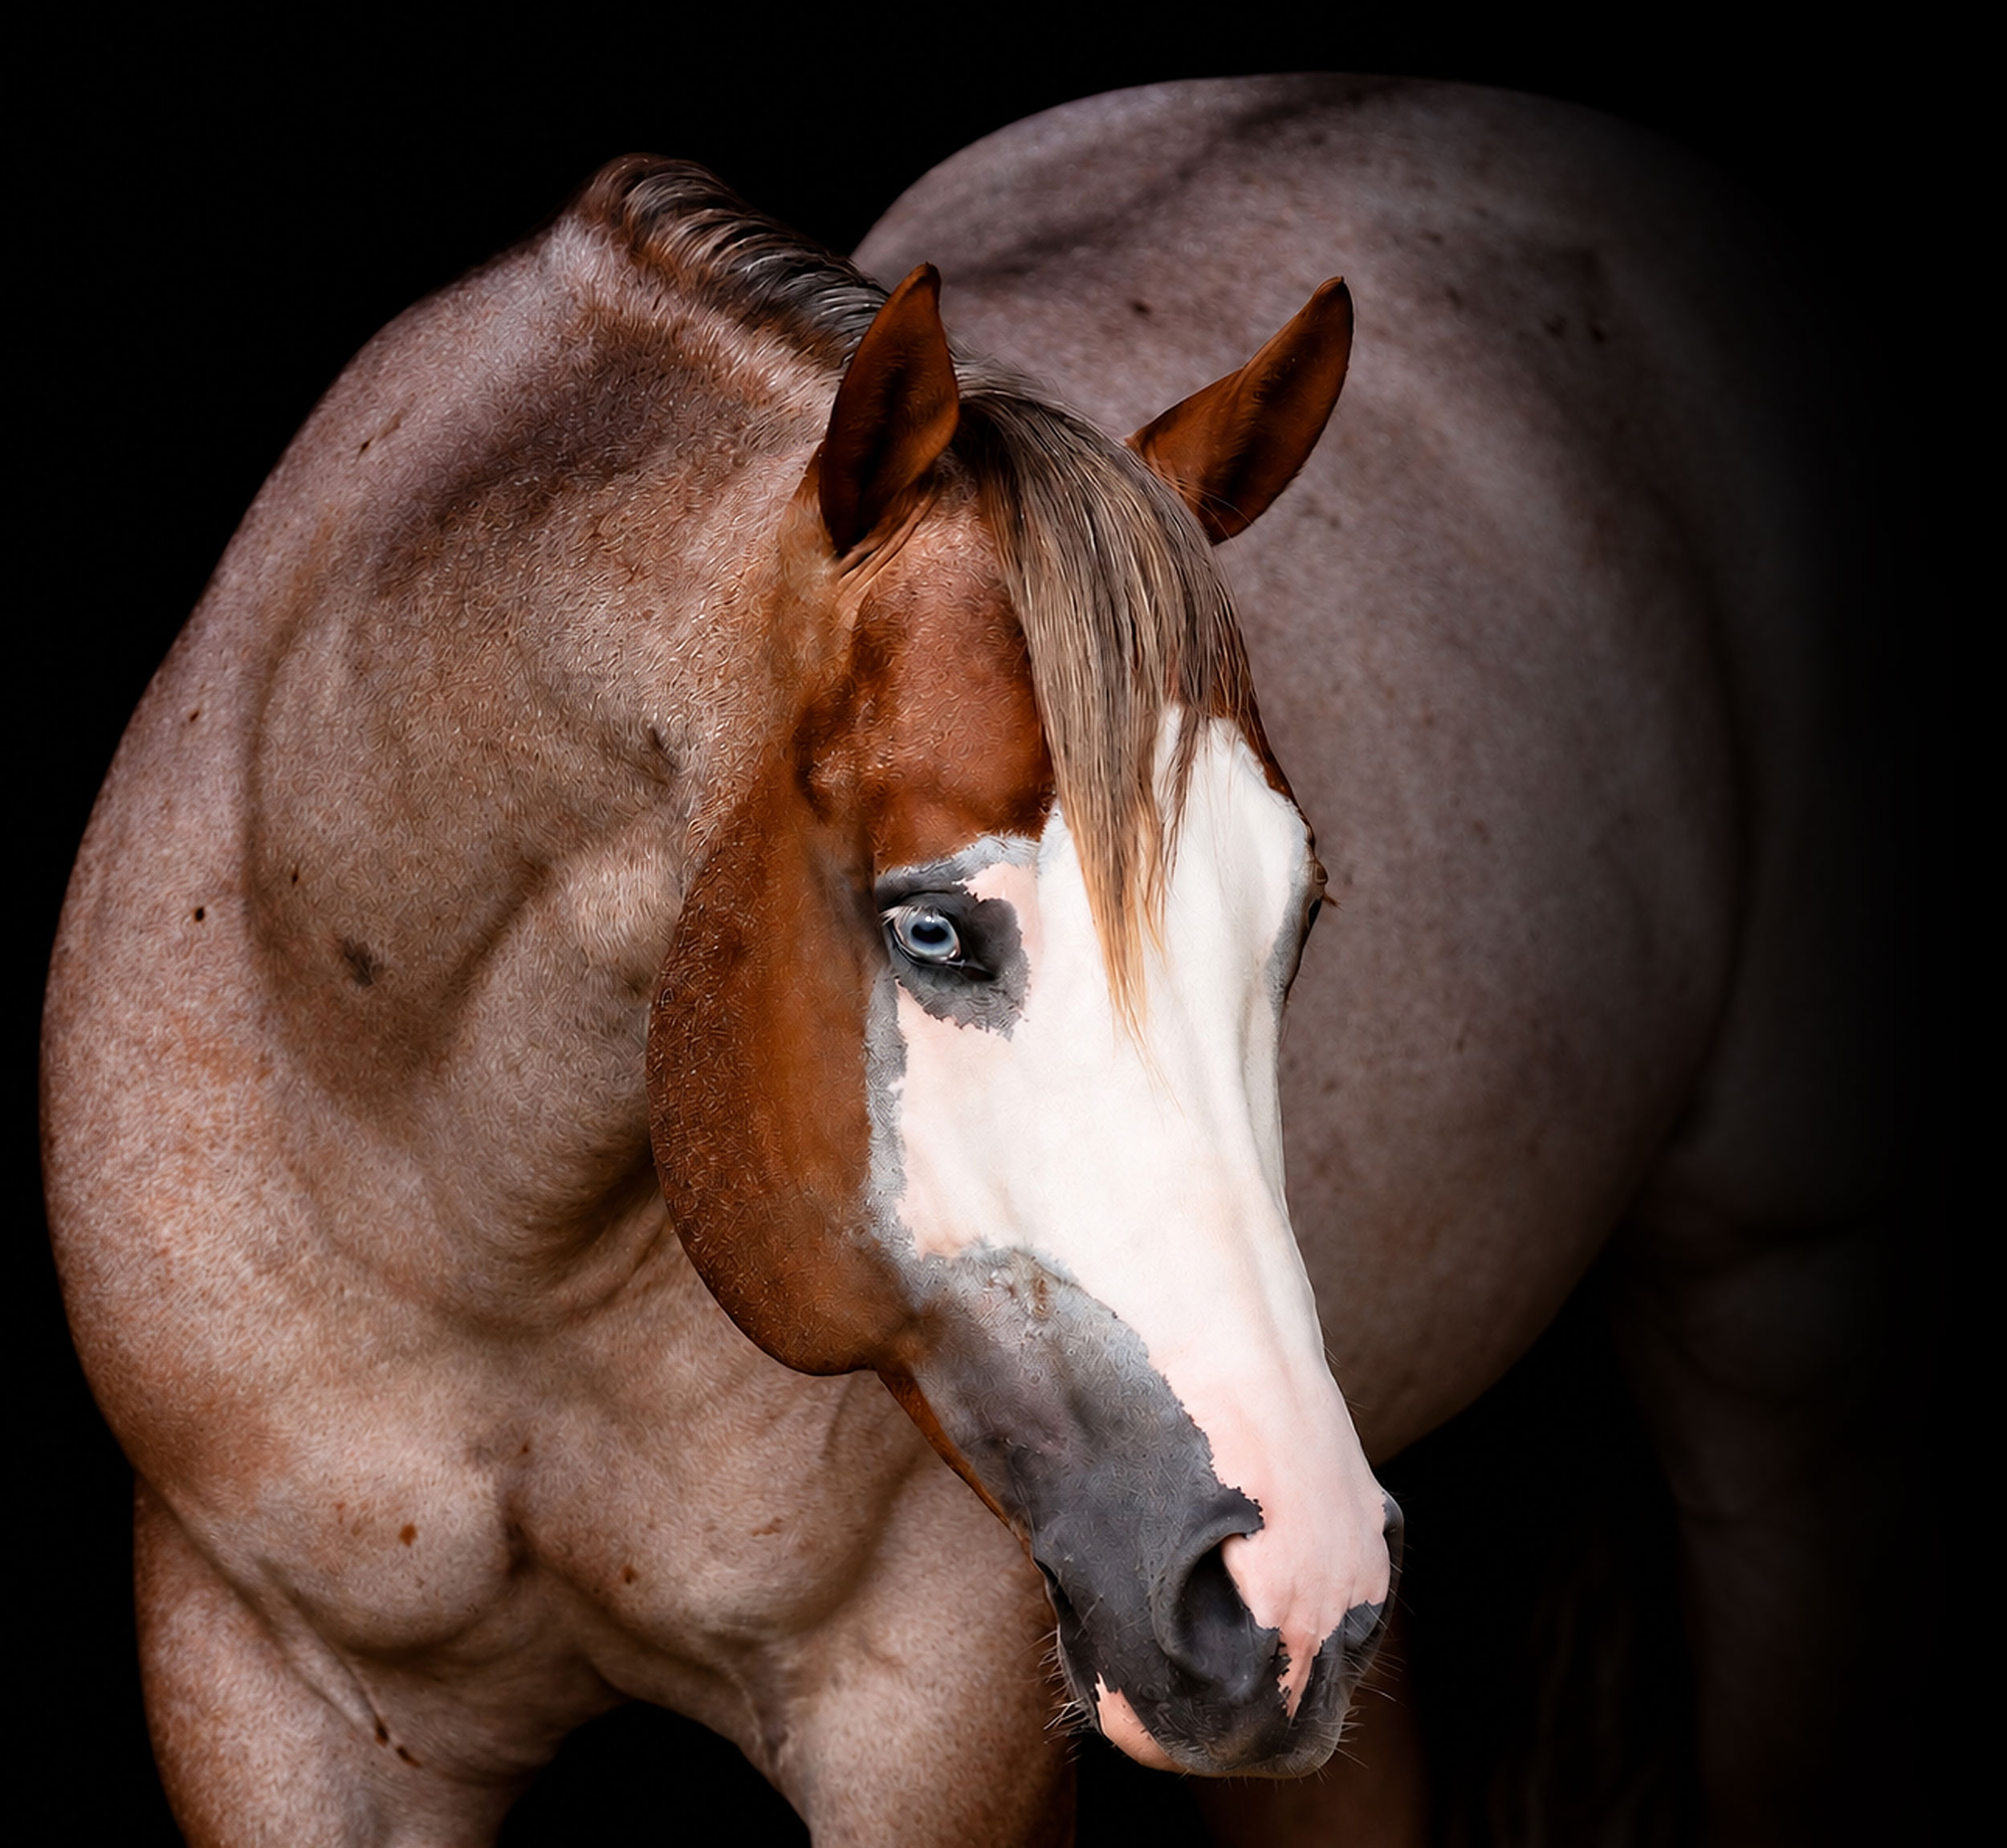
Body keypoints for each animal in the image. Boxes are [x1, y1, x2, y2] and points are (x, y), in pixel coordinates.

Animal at [41, 76, 1891, 1847]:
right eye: (933, 928)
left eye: (1293, 920)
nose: (1286, 1582)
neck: (456, 1214)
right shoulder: (266, 1696)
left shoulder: (931, 1725)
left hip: (1763, 1336)